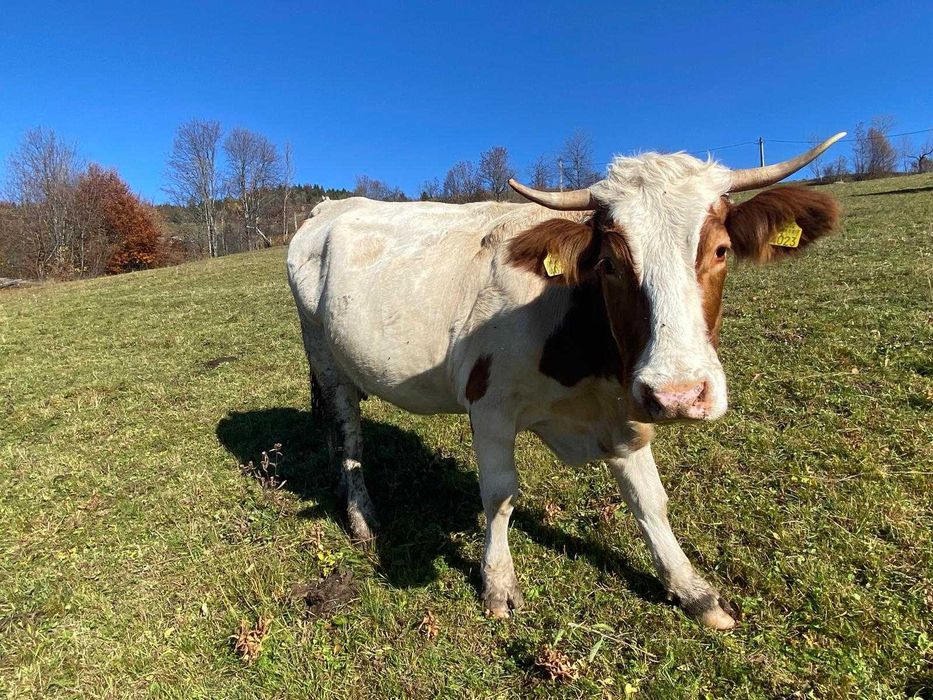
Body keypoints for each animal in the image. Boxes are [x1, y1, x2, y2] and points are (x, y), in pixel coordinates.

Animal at [286, 133, 844, 629]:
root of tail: (327, 208)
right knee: (348, 434)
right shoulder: (489, 407)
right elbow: (500, 495)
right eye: (610, 263)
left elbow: (650, 500)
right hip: (324, 355)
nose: (678, 394)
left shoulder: (623, 414)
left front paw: (690, 587)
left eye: (723, 250)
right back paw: (361, 516)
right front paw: (498, 583)